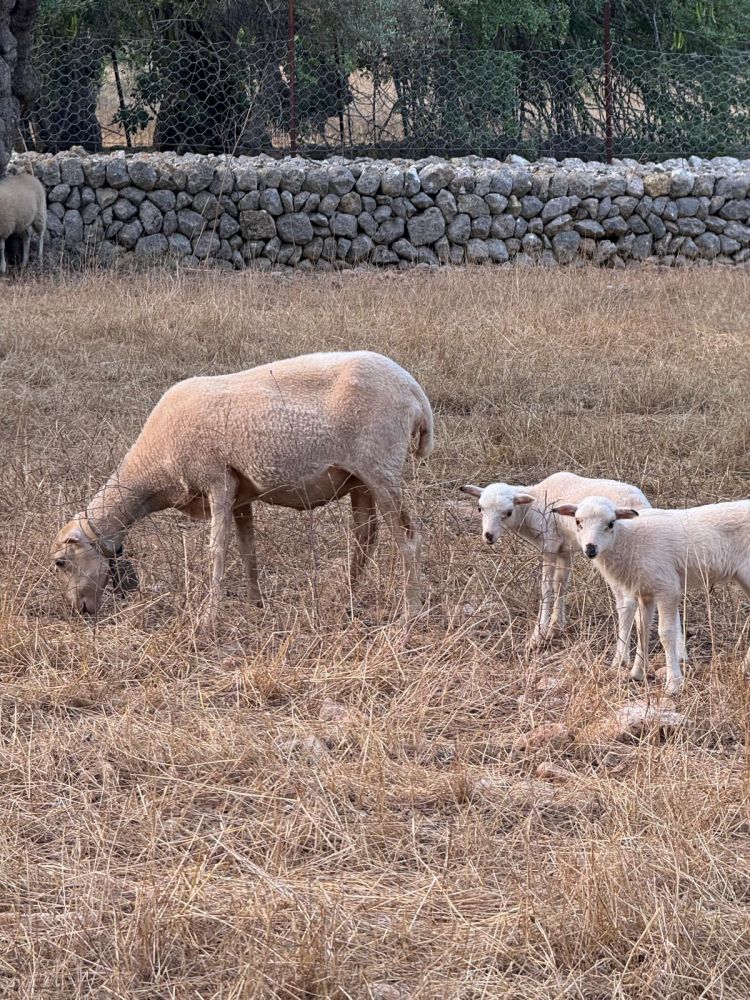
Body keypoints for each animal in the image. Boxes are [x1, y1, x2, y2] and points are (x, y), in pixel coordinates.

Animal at [48, 348, 434, 620]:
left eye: (60, 563)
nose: (78, 612)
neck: (153, 468)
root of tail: (415, 391)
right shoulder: (241, 493)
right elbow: (248, 549)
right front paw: (255, 603)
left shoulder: (217, 480)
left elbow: (217, 551)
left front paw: (208, 617)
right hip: (359, 480)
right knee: (364, 537)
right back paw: (347, 602)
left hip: (381, 469)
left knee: (407, 538)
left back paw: (410, 613)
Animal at [462, 470, 684, 672]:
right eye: (480, 508)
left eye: (508, 512)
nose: (488, 536)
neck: (533, 505)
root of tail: (641, 504)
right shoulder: (565, 551)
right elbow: (561, 584)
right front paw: (556, 625)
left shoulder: (549, 546)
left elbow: (546, 588)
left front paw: (538, 635)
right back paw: (681, 653)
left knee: (627, 604)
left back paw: (621, 658)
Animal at [556, 498, 748, 696]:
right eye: (578, 522)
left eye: (611, 523)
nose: (591, 549)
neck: (629, 541)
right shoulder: (645, 593)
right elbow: (642, 629)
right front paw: (637, 673)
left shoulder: (667, 588)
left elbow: (666, 633)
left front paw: (673, 684)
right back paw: (743, 668)